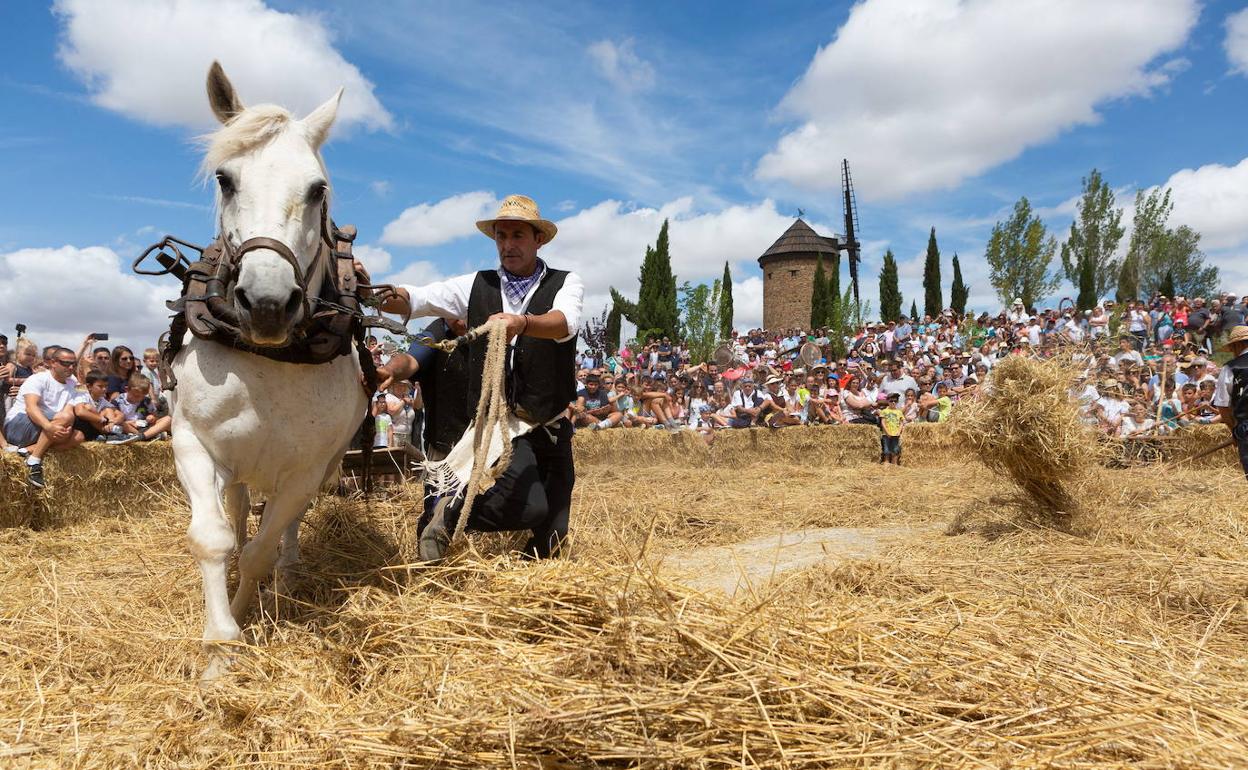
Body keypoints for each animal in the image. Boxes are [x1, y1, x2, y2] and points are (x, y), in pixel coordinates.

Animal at [175, 66, 369, 678]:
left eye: (317, 189)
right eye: (225, 179)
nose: (266, 303)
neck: (271, 359)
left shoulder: (307, 470)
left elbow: (266, 544)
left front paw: (245, 610)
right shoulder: (193, 443)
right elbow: (212, 538)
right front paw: (219, 645)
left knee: (282, 528)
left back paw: (286, 567)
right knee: (237, 508)